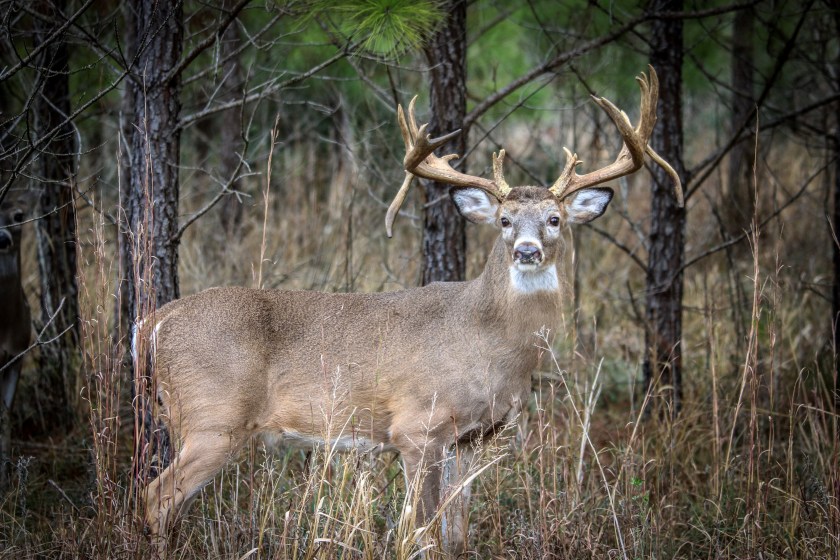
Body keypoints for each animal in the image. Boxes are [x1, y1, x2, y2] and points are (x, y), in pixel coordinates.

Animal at [138, 68, 684, 552]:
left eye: (554, 219)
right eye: (505, 221)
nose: (527, 251)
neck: (490, 345)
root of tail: (153, 322)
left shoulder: (473, 437)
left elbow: (456, 535)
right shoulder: (417, 427)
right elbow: (418, 533)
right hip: (213, 417)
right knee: (155, 497)